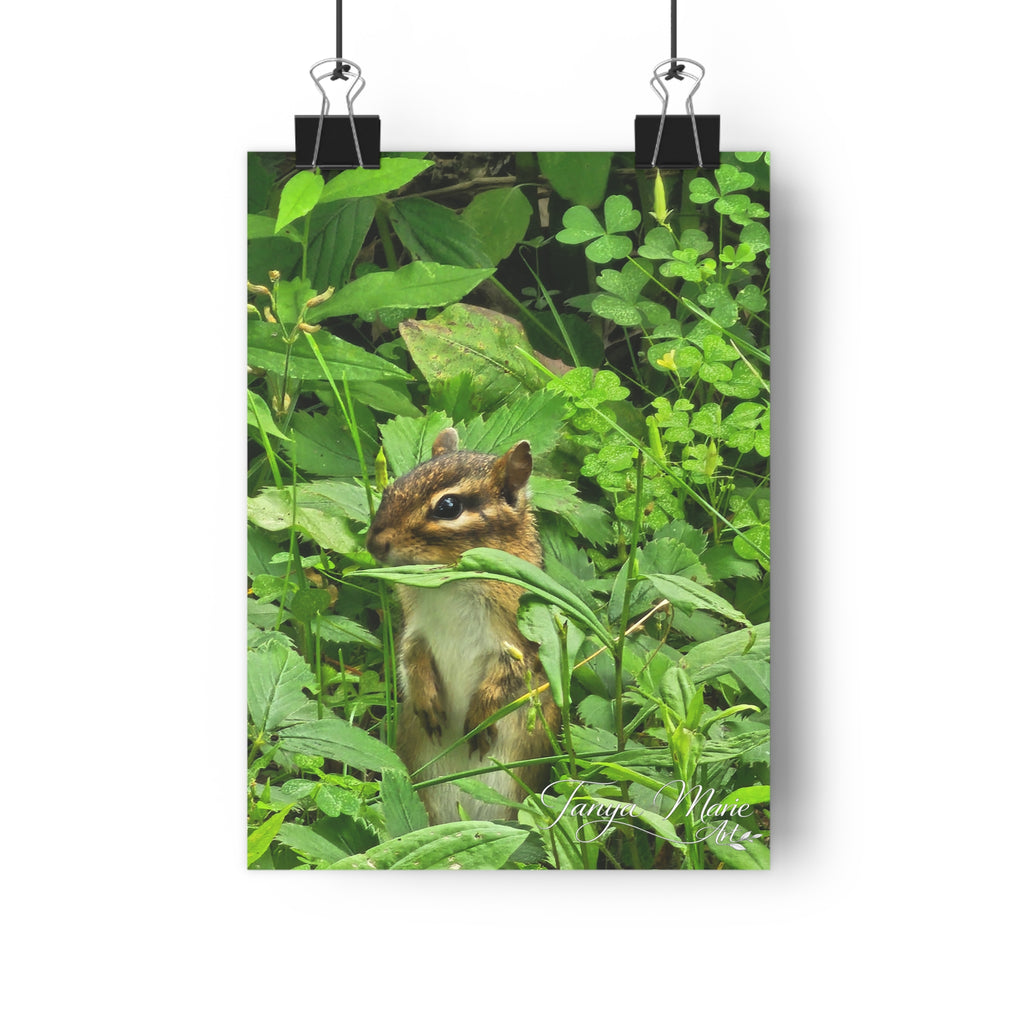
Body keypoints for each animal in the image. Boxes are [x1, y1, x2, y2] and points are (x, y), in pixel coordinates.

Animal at [366, 428, 561, 825]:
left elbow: (507, 678)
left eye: (448, 507)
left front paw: (480, 719)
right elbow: (410, 658)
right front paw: (427, 701)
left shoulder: (518, 641)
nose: (373, 543)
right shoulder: (415, 629)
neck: (449, 583)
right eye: (393, 487)